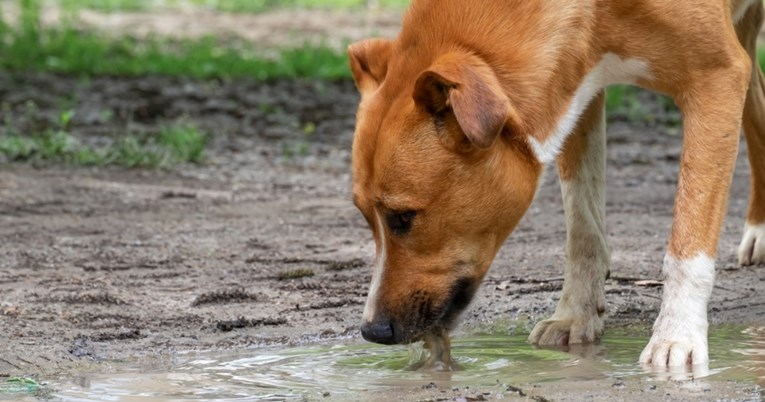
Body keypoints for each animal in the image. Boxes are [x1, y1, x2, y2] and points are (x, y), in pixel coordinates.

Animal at [348, 0, 764, 370]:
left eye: (403, 217)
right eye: (365, 218)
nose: (372, 332)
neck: (597, 10)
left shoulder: (717, 75)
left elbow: (687, 242)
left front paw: (676, 336)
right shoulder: (577, 87)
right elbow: (583, 229)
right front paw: (575, 315)